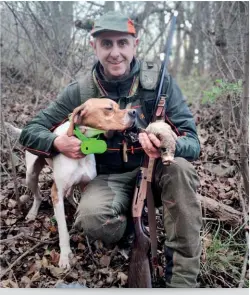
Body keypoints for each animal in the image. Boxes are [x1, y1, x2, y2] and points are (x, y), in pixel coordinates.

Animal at [4, 98, 137, 270]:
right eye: (109, 108)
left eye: (118, 106)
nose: (134, 112)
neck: (83, 142)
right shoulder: (56, 193)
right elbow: (63, 231)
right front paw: (65, 256)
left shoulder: (85, 185)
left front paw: (95, 244)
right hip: (30, 175)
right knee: (39, 196)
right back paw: (33, 212)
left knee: (70, 195)